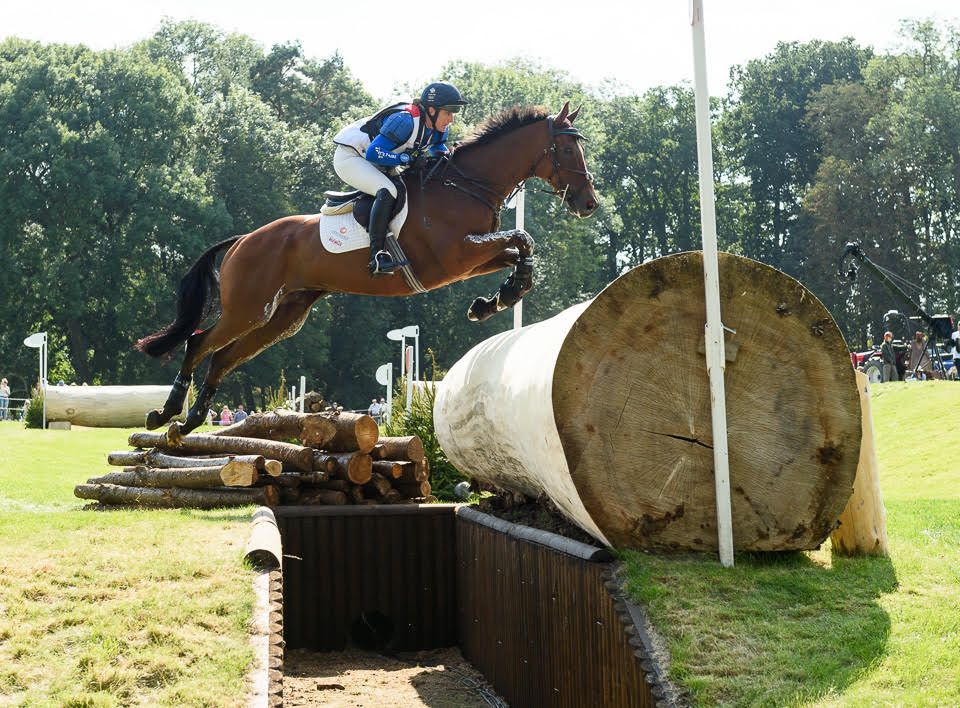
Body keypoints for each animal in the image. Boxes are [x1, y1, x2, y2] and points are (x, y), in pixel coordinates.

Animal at [138, 99, 596, 432]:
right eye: (567, 149)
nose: (589, 204)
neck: (465, 186)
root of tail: (242, 240)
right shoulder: (456, 257)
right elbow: (522, 238)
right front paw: (498, 298)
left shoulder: (470, 261)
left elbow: (521, 248)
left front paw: (494, 301)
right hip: (248, 306)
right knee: (198, 343)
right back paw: (166, 413)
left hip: (284, 315)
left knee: (222, 357)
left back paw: (190, 421)